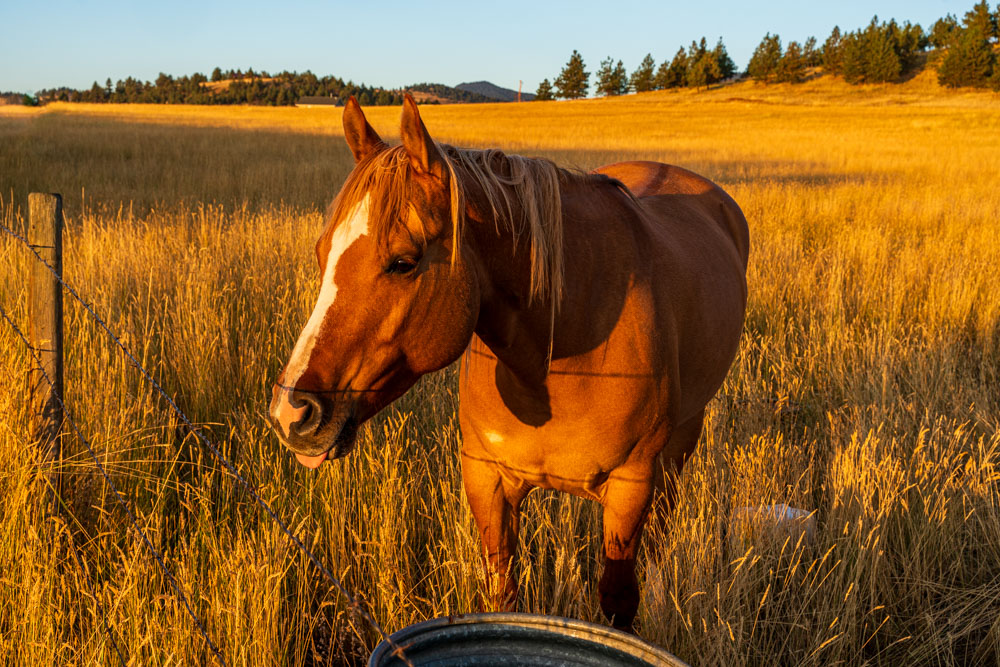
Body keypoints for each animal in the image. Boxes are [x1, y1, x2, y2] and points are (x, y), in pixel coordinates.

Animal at [270, 94, 748, 632]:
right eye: (322, 253)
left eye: (403, 262)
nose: (292, 413)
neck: (562, 349)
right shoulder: (486, 480)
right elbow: (503, 593)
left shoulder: (631, 487)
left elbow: (618, 602)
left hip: (683, 438)